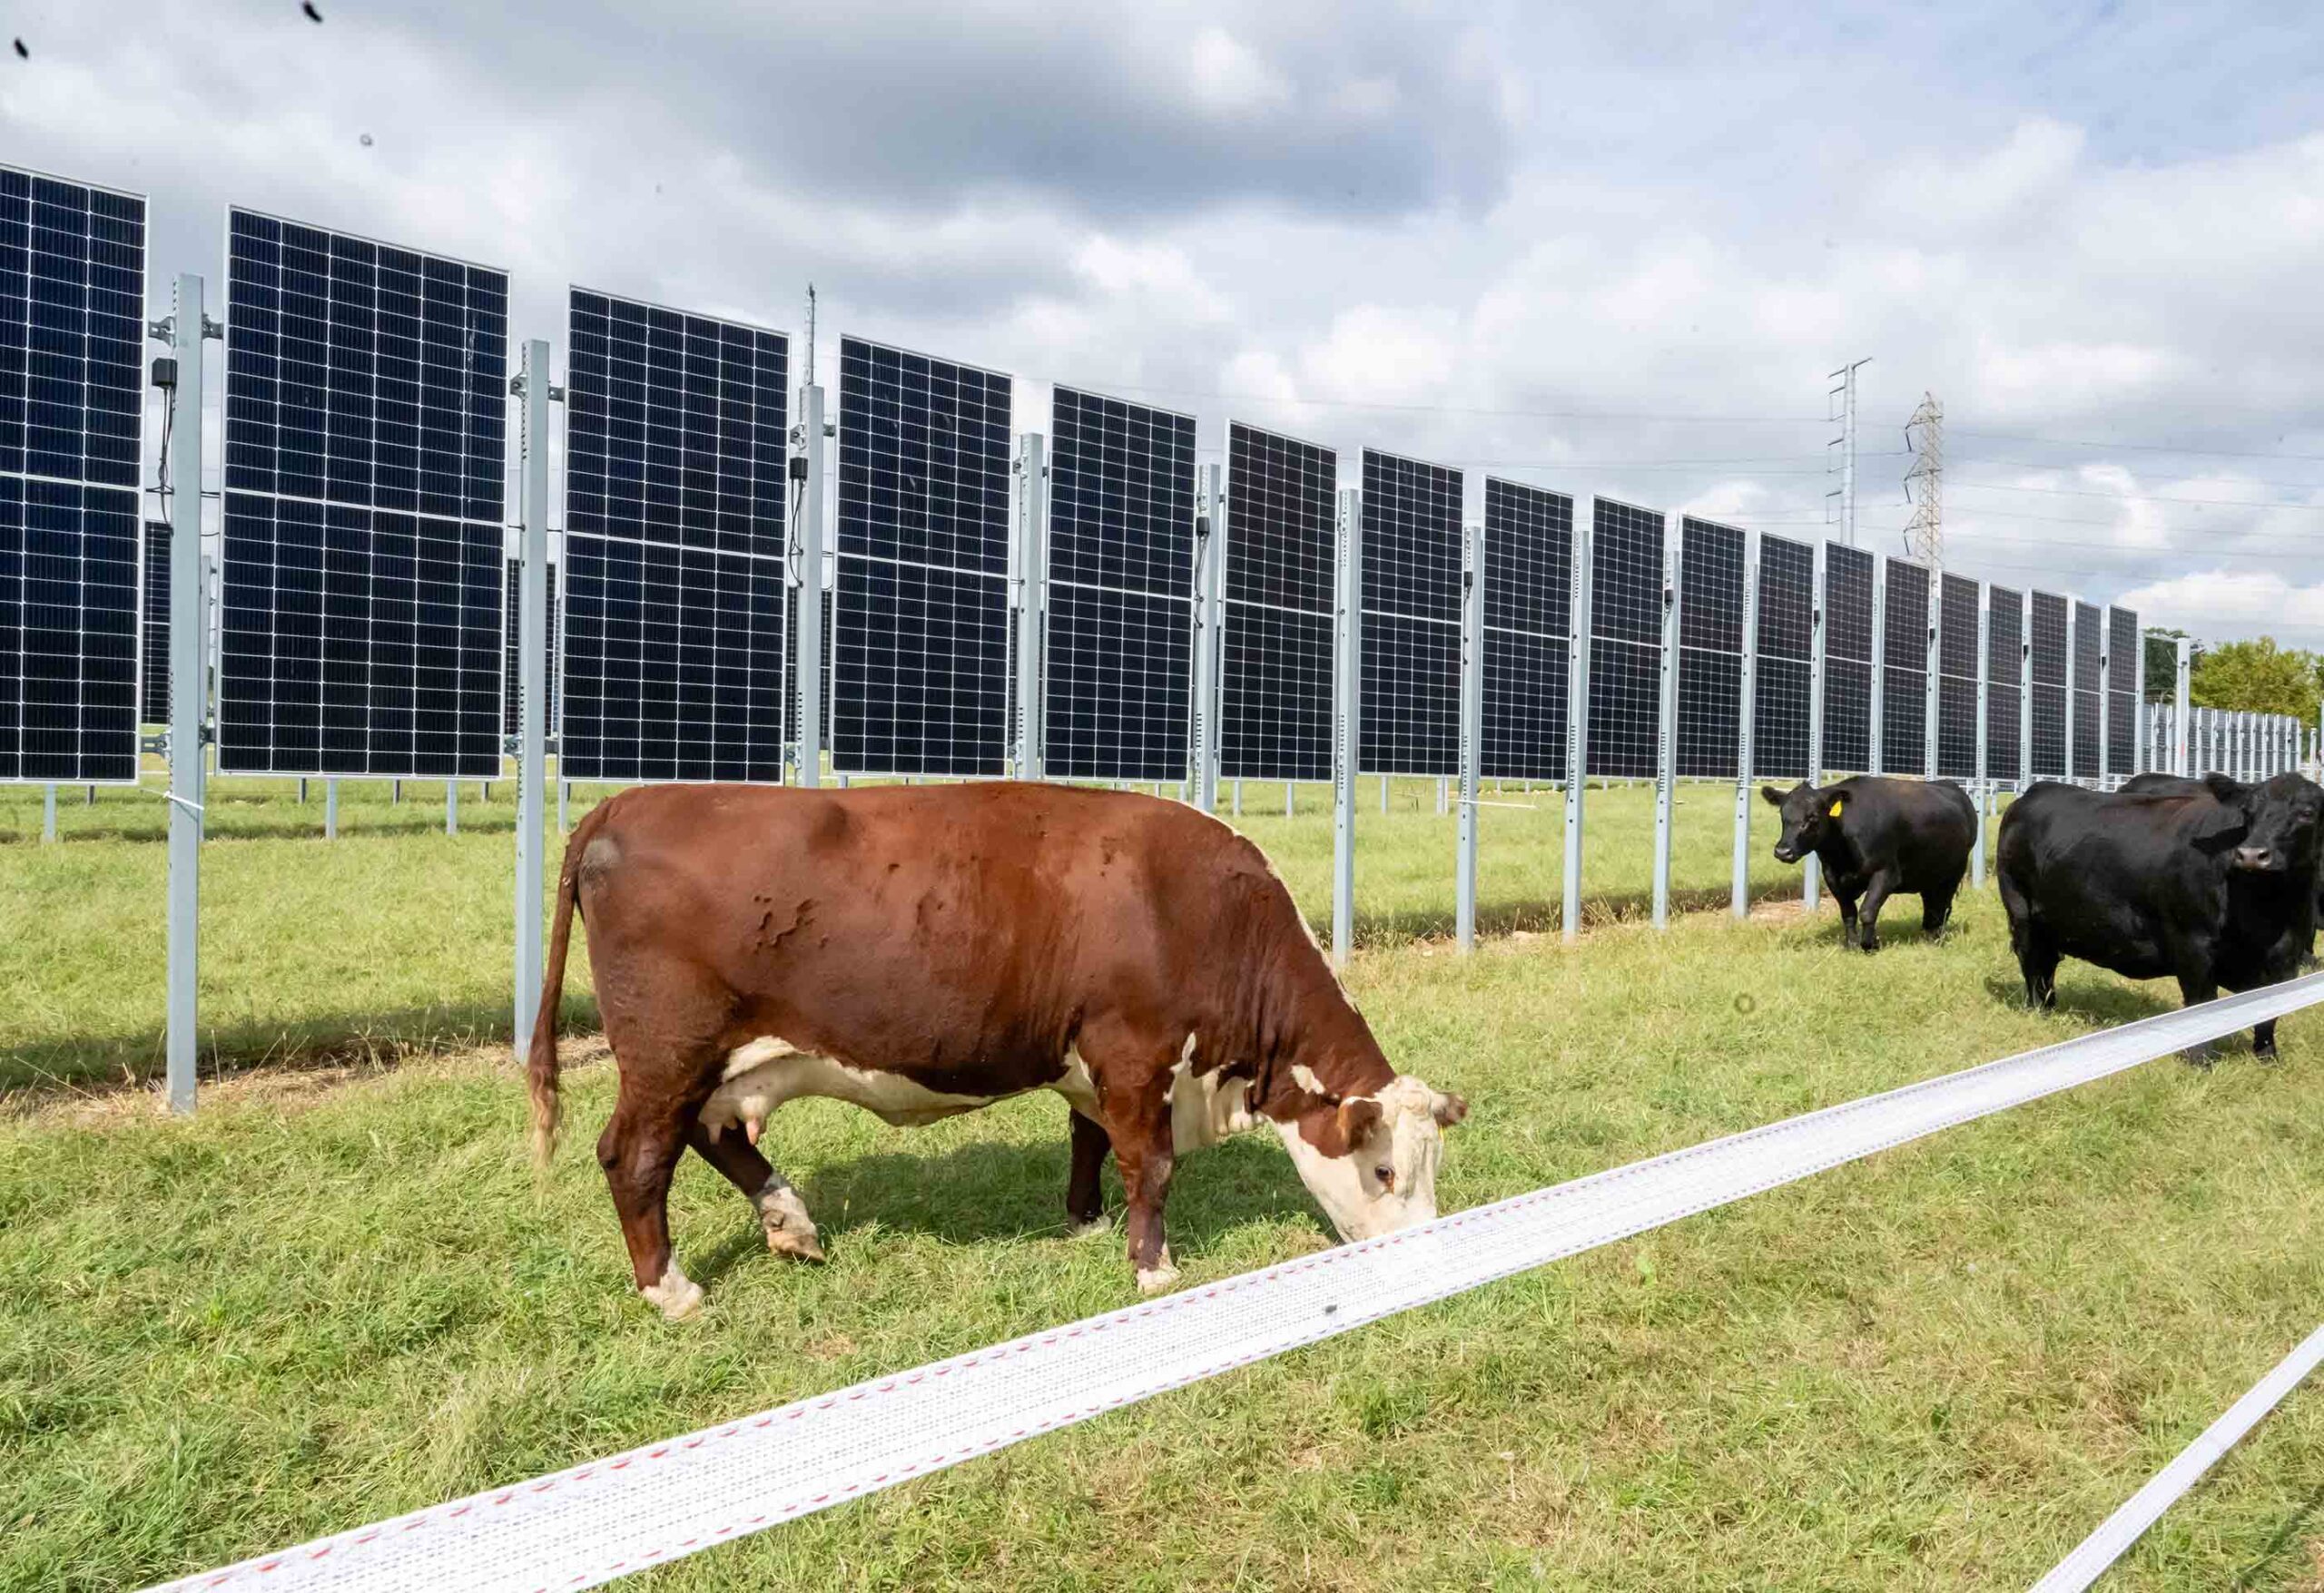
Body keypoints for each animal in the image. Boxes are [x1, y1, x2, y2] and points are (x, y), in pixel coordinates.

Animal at [529, 780, 1468, 1319]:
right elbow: (1152, 1164)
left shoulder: (1095, 1062)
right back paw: (673, 1289)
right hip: (667, 1050)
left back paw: (790, 1221)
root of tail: (627, 802)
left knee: (710, 1134)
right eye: (1385, 1169)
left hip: (717, 1060)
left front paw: (1087, 1217)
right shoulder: (1136, 1053)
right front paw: (1153, 1267)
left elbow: (1091, 1139)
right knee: (635, 1154)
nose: (1431, 1256)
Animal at [1757, 780, 1980, 957]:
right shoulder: (1832, 877)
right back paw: (1928, 932)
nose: (1783, 851)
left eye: (1812, 817)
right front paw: (1852, 945)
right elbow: (1848, 914)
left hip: (1954, 872)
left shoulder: (1886, 873)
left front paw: (1870, 944)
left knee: (1944, 905)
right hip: (1929, 873)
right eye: (1782, 815)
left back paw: (1937, 937)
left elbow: (1867, 910)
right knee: (1931, 904)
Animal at [1998, 775, 2324, 1058]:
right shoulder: (2192, 945)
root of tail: (2037, 790)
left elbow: (2269, 1015)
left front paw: (2268, 1057)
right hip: (2021, 912)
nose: (2252, 855)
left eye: (2307, 812)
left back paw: (2051, 1008)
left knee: (2048, 964)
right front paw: (2202, 1061)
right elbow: (2201, 1005)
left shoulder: (2288, 956)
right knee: (2033, 966)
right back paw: (2038, 1011)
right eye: (2247, 811)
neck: (2267, 911)